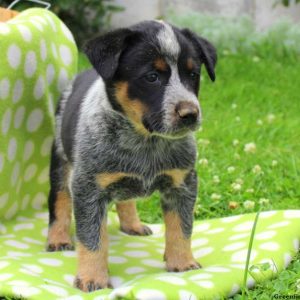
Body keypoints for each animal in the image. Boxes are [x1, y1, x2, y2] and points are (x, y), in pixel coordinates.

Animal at [46, 19, 216, 292]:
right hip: (61, 161)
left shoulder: (182, 183)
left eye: (193, 75)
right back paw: (58, 239)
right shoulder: (87, 188)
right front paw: (92, 277)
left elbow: (182, 227)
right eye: (152, 77)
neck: (145, 142)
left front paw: (182, 263)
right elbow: (92, 238)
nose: (190, 113)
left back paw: (132, 225)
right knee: (59, 201)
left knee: (125, 199)